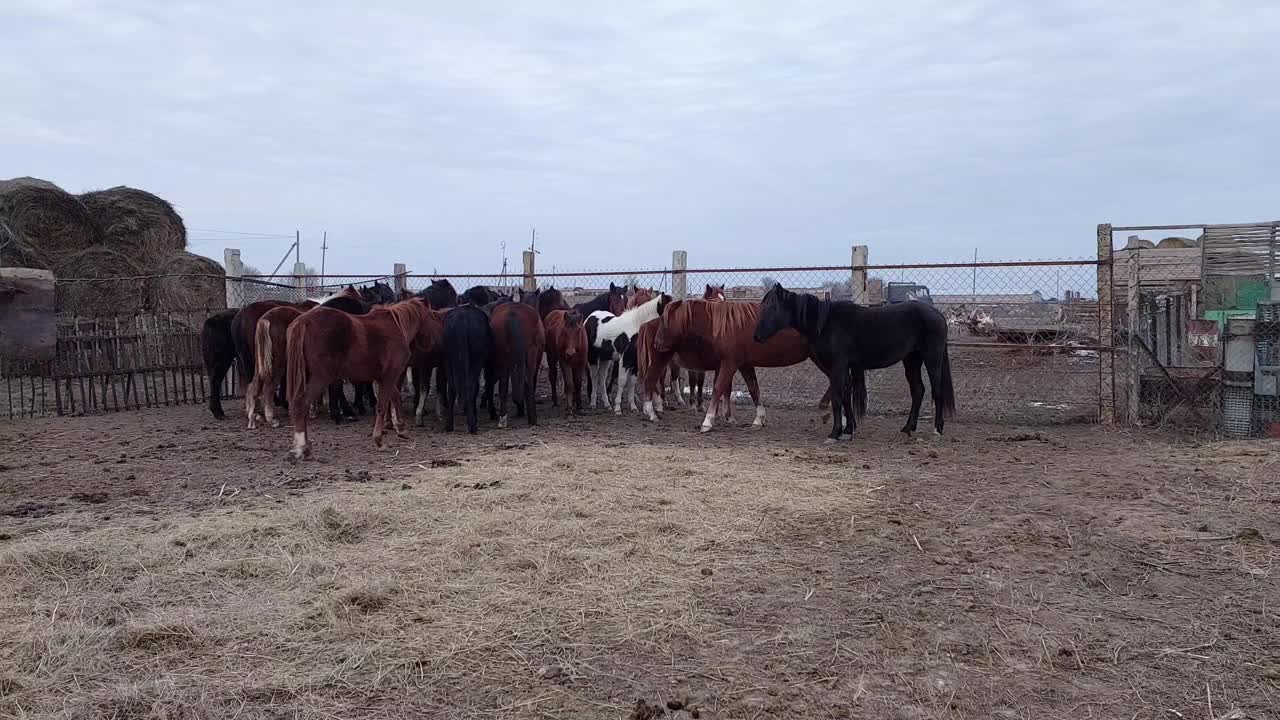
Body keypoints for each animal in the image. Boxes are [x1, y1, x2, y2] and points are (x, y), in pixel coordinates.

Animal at [285, 297, 430, 458]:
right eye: (430, 316)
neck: (396, 326)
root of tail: (304, 321)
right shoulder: (390, 375)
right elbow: (382, 406)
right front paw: (379, 441)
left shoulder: (383, 378)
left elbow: (395, 398)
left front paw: (401, 429)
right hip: (320, 378)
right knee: (301, 404)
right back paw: (300, 447)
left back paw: (305, 447)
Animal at [650, 298, 829, 430]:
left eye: (664, 320)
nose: (656, 344)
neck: (723, 325)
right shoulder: (744, 365)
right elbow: (753, 389)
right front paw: (758, 418)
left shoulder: (729, 363)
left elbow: (719, 388)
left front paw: (708, 421)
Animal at [752, 281, 957, 440]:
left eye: (772, 307)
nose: (756, 336)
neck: (825, 323)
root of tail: (938, 314)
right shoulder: (844, 368)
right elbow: (845, 396)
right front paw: (848, 430)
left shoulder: (838, 366)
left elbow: (837, 396)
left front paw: (834, 433)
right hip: (911, 360)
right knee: (918, 390)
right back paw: (908, 428)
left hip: (932, 359)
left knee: (936, 391)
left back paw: (937, 429)